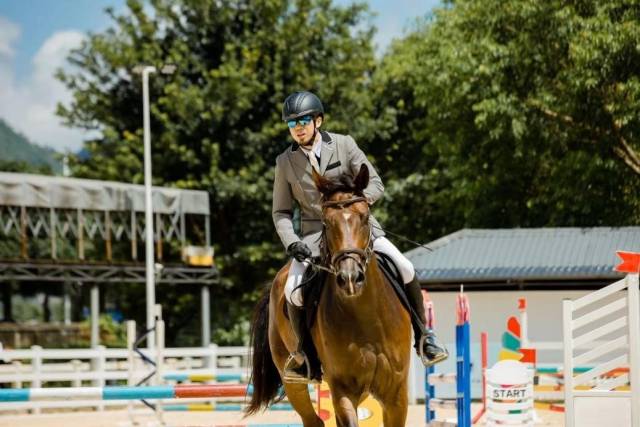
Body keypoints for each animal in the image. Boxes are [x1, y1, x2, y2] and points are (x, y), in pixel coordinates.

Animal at [245, 165, 410, 427]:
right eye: (326, 222)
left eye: (365, 217)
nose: (350, 278)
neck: (367, 316)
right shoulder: (343, 389)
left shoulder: (396, 395)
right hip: (292, 380)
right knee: (312, 419)